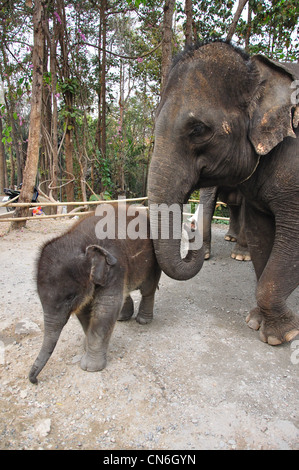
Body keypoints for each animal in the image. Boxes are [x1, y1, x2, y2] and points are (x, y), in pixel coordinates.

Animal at [29, 204, 162, 384]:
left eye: (70, 297)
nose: (35, 380)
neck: (79, 239)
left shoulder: (115, 266)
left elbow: (105, 309)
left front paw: (90, 368)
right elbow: (85, 310)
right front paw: (86, 347)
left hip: (153, 261)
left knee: (148, 289)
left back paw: (143, 321)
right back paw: (123, 318)